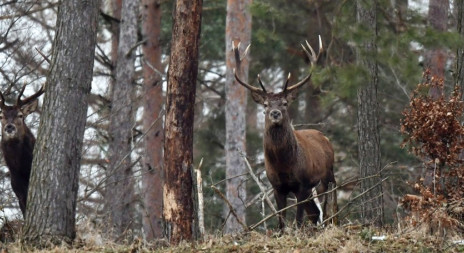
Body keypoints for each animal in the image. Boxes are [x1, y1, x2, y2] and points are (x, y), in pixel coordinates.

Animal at [236, 36, 338, 232]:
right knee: (315, 213)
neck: (283, 165)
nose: (275, 113)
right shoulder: (277, 187)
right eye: (266, 104)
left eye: (284, 103)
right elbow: (281, 221)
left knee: (330, 205)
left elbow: (298, 219)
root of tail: (325, 138)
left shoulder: (302, 184)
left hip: (327, 176)